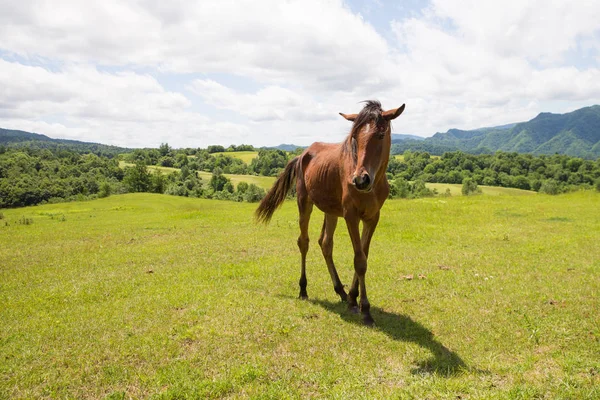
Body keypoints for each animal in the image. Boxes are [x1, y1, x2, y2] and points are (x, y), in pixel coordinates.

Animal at [255, 100, 406, 324]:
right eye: (354, 137)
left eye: (380, 135)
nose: (360, 180)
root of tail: (302, 155)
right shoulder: (351, 216)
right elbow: (359, 260)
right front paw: (365, 309)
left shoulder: (372, 218)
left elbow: (363, 254)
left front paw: (353, 297)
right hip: (304, 202)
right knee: (304, 242)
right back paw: (303, 289)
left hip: (331, 211)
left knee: (325, 243)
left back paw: (340, 291)